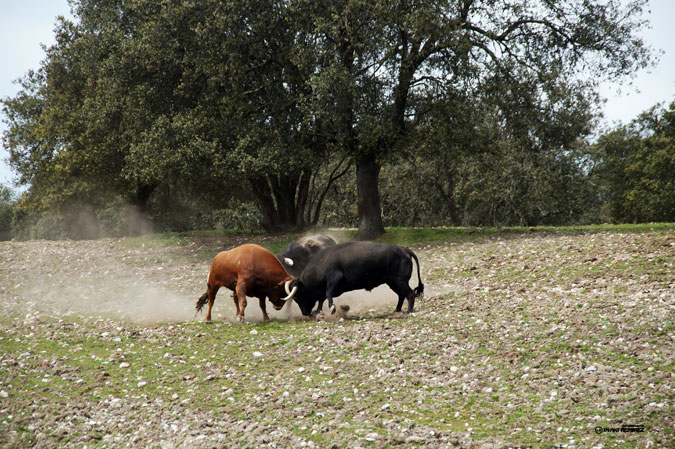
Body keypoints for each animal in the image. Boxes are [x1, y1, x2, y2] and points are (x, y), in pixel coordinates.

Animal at [286, 242, 426, 316]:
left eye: (297, 296)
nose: (304, 313)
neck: (320, 263)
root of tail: (404, 250)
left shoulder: (335, 278)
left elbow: (327, 293)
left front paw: (332, 308)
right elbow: (322, 298)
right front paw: (318, 311)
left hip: (400, 281)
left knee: (410, 294)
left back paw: (408, 311)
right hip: (393, 283)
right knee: (402, 295)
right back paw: (396, 310)